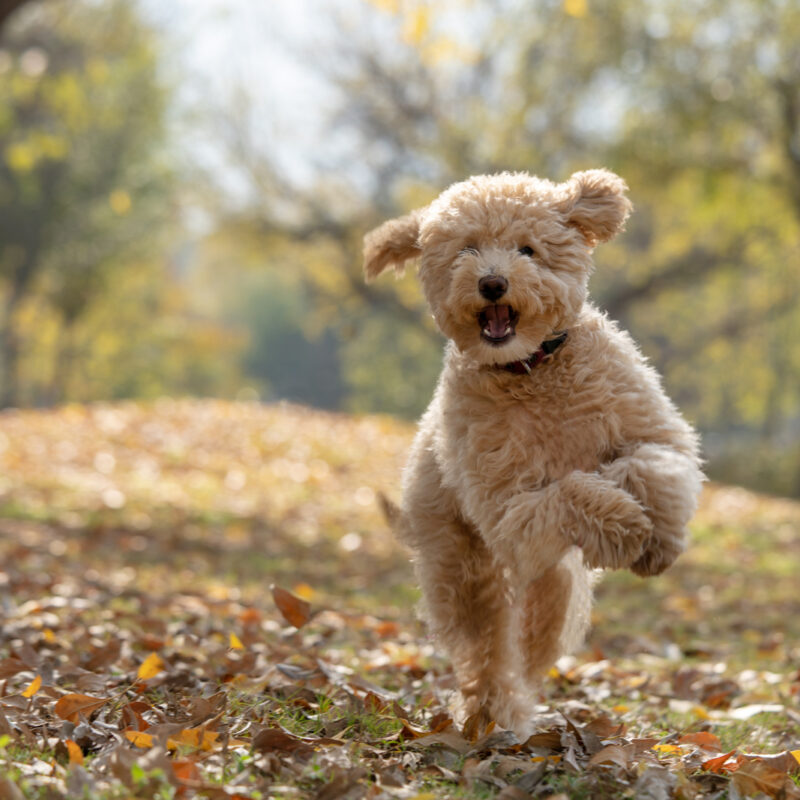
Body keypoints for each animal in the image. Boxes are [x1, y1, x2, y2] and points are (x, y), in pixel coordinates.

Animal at [360, 172, 700, 736]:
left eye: (528, 249)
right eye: (466, 250)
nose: (493, 283)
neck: (532, 369)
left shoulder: (651, 429)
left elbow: (652, 465)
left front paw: (659, 541)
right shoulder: (507, 510)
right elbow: (571, 492)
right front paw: (627, 525)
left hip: (548, 580)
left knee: (537, 628)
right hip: (464, 568)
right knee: (487, 649)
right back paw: (493, 711)